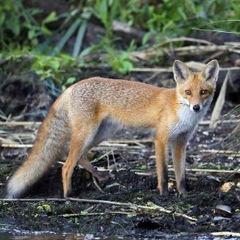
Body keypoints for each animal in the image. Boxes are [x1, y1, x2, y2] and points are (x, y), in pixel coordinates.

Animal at [5, 60, 219, 199]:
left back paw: (99, 176)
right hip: (87, 134)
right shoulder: (161, 139)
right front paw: (164, 195)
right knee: (66, 165)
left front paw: (184, 194)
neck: (182, 113)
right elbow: (164, 173)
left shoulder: (180, 142)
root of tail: (73, 86)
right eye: (188, 92)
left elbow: (181, 174)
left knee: (76, 156)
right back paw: (68, 195)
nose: (196, 107)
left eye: (204, 92)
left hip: (100, 134)